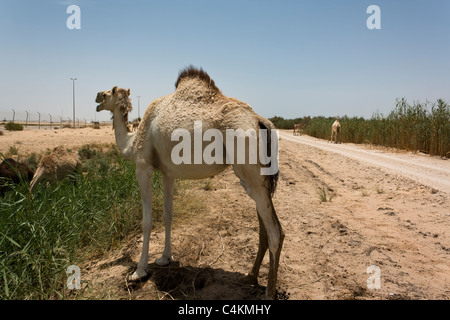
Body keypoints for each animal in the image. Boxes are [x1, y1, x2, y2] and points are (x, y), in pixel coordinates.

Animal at [95, 66, 284, 298]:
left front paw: (139, 271)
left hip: (250, 169)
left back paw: (269, 291)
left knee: (275, 231)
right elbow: (167, 215)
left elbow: (147, 221)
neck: (131, 142)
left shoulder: (142, 167)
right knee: (264, 228)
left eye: (106, 94)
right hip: (257, 179)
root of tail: (261, 121)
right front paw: (165, 258)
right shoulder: (168, 173)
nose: (96, 97)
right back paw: (250, 277)